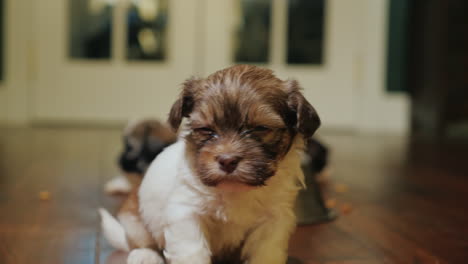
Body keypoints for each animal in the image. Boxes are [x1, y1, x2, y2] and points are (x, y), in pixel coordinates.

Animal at [99, 64, 322, 264]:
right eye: (206, 129)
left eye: (260, 128)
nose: (227, 161)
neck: (235, 189)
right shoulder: (186, 213)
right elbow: (192, 252)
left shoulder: (273, 220)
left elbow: (266, 253)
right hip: (134, 218)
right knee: (140, 242)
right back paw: (145, 255)